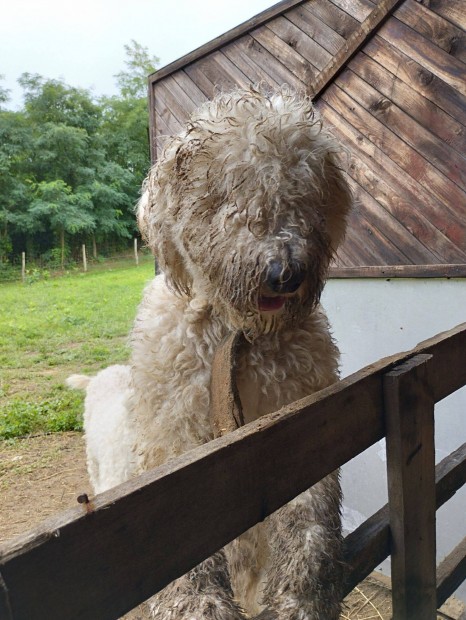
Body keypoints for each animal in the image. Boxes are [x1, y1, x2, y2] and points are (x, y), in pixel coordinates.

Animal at [68, 88, 350, 620]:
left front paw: (300, 596)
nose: (283, 272)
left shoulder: (306, 416)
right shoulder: (172, 437)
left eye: (301, 189)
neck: (233, 340)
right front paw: (198, 603)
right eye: (222, 195)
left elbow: (310, 517)